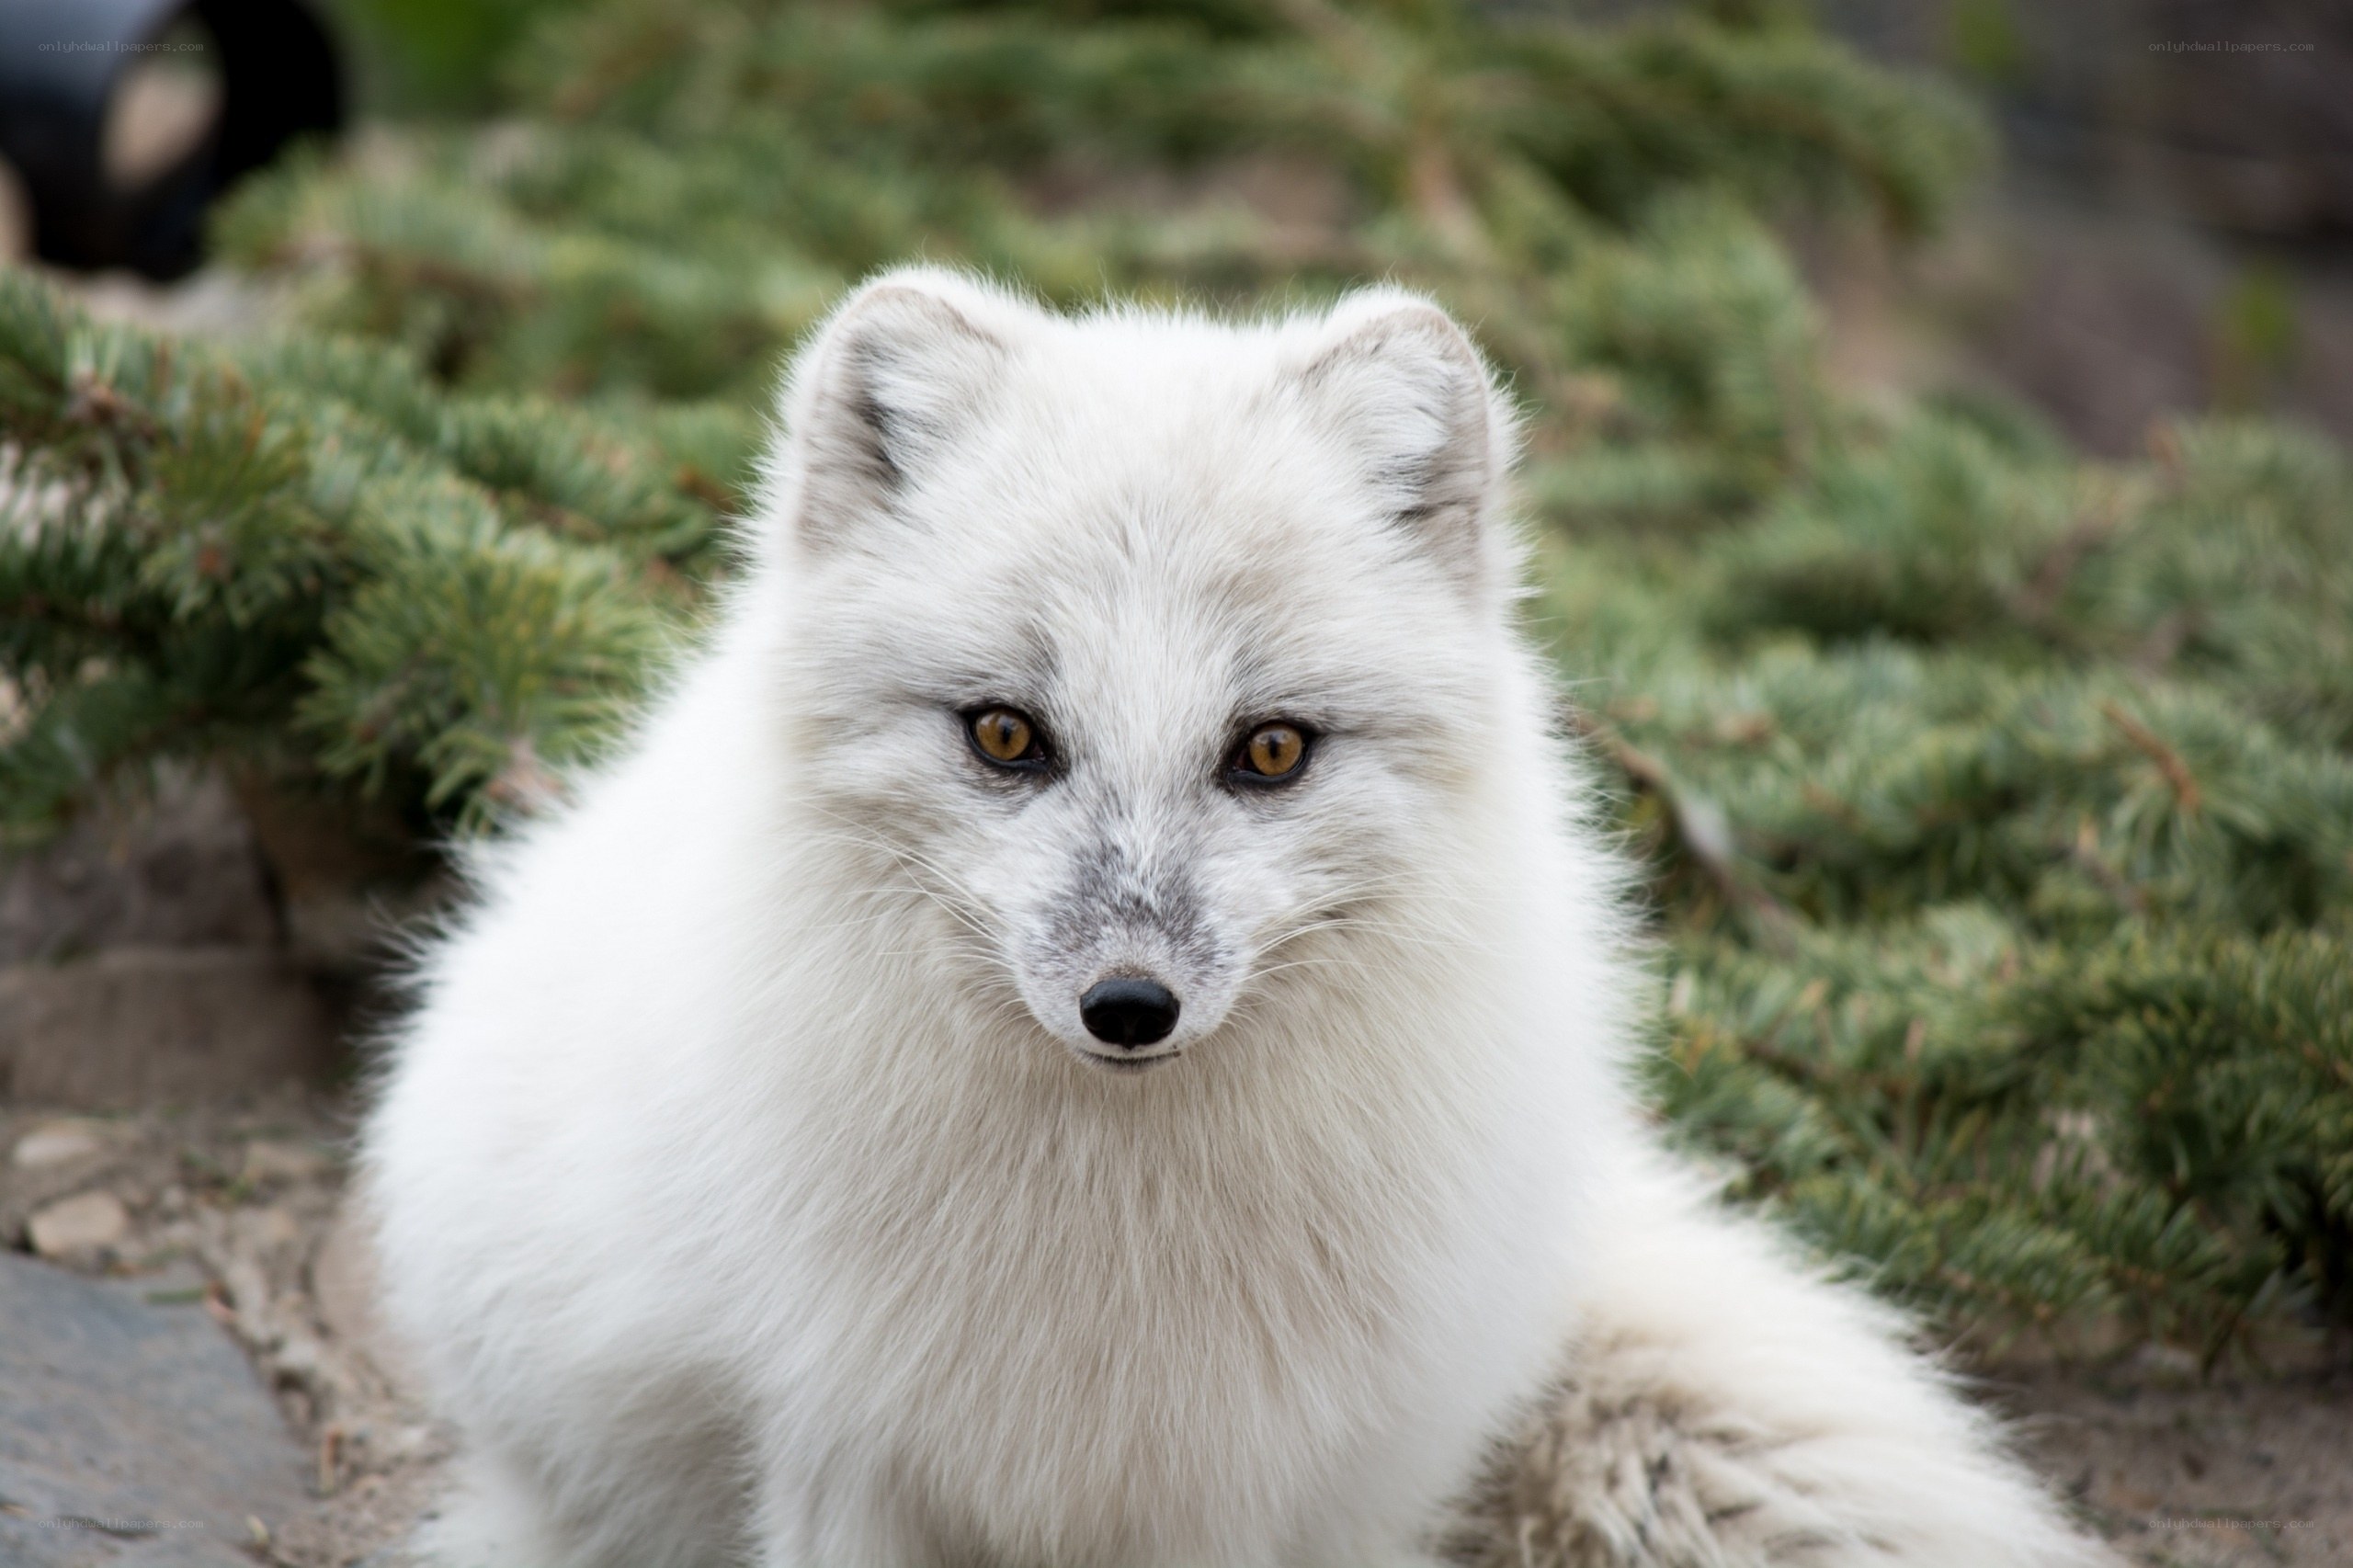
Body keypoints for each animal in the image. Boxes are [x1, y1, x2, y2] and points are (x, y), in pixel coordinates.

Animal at [362, 268, 2110, 1568]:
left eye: (1269, 751)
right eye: (1006, 734)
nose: (1130, 1005)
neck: (1119, 1244)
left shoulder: (1238, 1480)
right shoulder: (851, 1444)